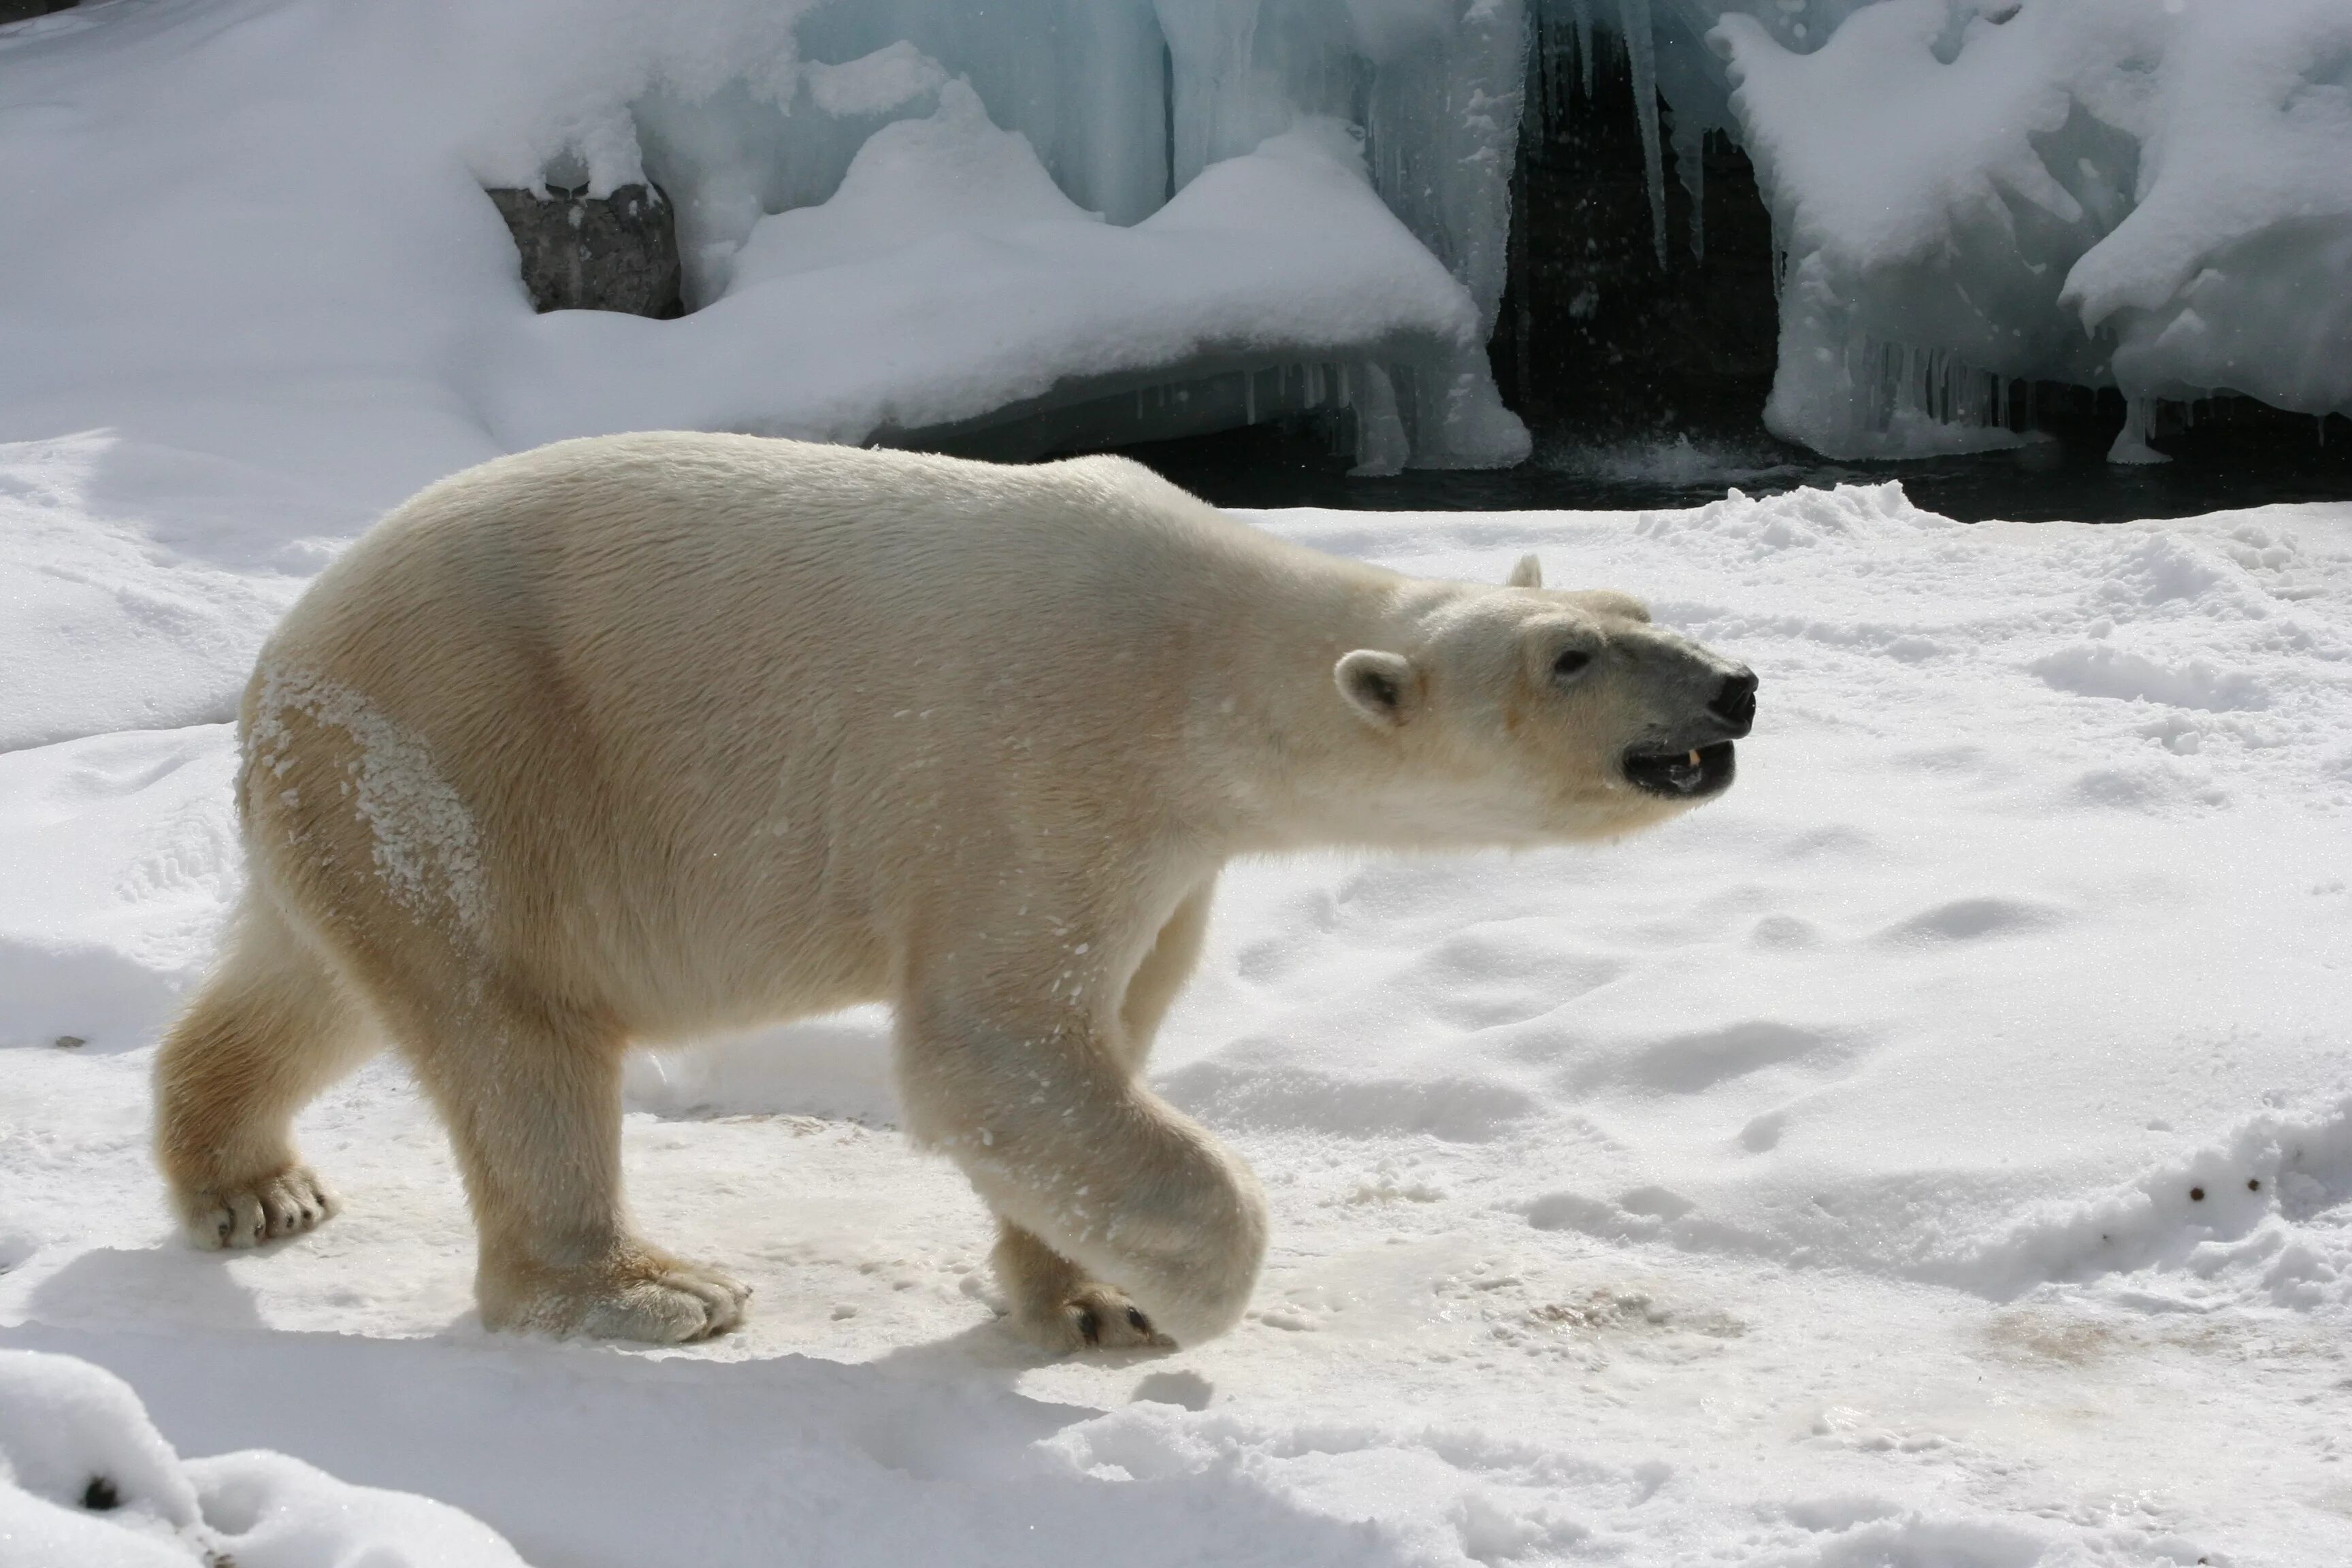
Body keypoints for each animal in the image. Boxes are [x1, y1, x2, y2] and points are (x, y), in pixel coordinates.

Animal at [151, 432, 1750, 1354]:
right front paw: (1184, 1294)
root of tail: (278, 659)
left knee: (314, 982)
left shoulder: (1169, 849)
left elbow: (1103, 1038)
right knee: (514, 1037)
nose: (1733, 686)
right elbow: (994, 1047)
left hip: (364, 799)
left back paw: (254, 1183)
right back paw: (648, 1289)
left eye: (1635, 612)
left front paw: (1087, 1292)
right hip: (470, 760)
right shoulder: (1045, 763)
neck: (1201, 658)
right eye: (1569, 658)